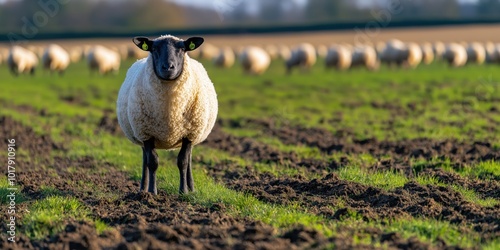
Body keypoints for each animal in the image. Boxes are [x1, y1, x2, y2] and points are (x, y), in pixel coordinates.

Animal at [118, 34, 220, 195]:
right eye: (154, 49)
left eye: (182, 49)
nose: (168, 67)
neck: (170, 111)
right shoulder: (146, 133)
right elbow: (152, 162)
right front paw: (152, 192)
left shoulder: (189, 134)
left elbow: (183, 161)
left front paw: (183, 191)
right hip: (139, 133)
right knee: (145, 159)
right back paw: (142, 189)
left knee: (189, 159)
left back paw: (192, 188)